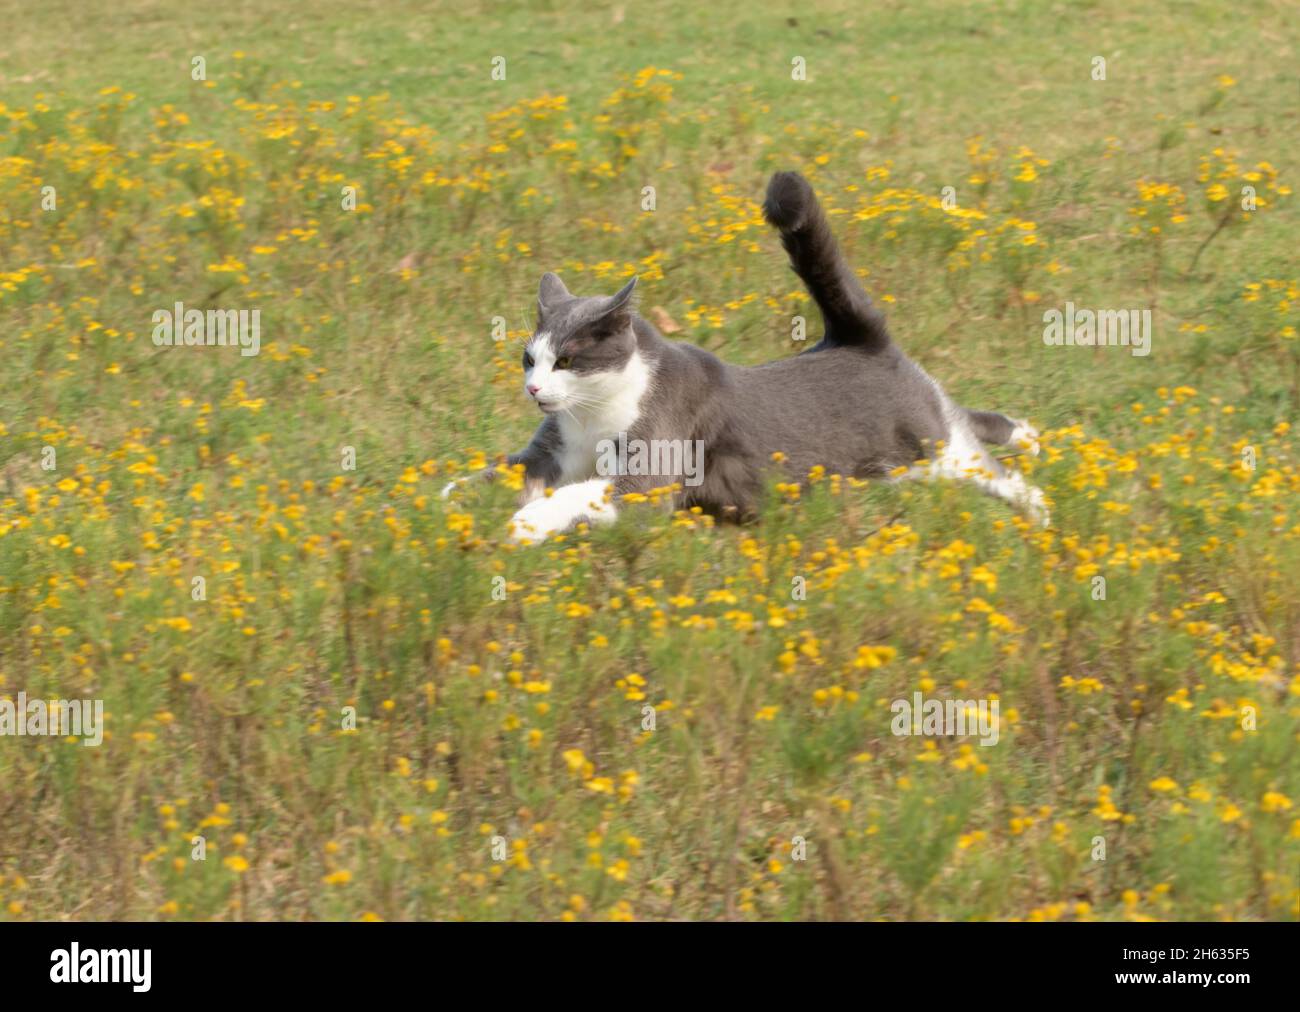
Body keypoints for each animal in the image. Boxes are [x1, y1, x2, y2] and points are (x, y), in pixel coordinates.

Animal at [441, 169, 1050, 541]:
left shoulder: (653, 470)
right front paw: (448, 499)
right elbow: (505, 471)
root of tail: (857, 339)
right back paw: (1030, 435)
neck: (594, 414)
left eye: (566, 361)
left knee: (993, 469)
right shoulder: (552, 451)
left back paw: (1039, 512)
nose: (534, 389)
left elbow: (586, 491)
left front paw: (525, 523)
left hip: (934, 450)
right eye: (529, 359)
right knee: (971, 416)